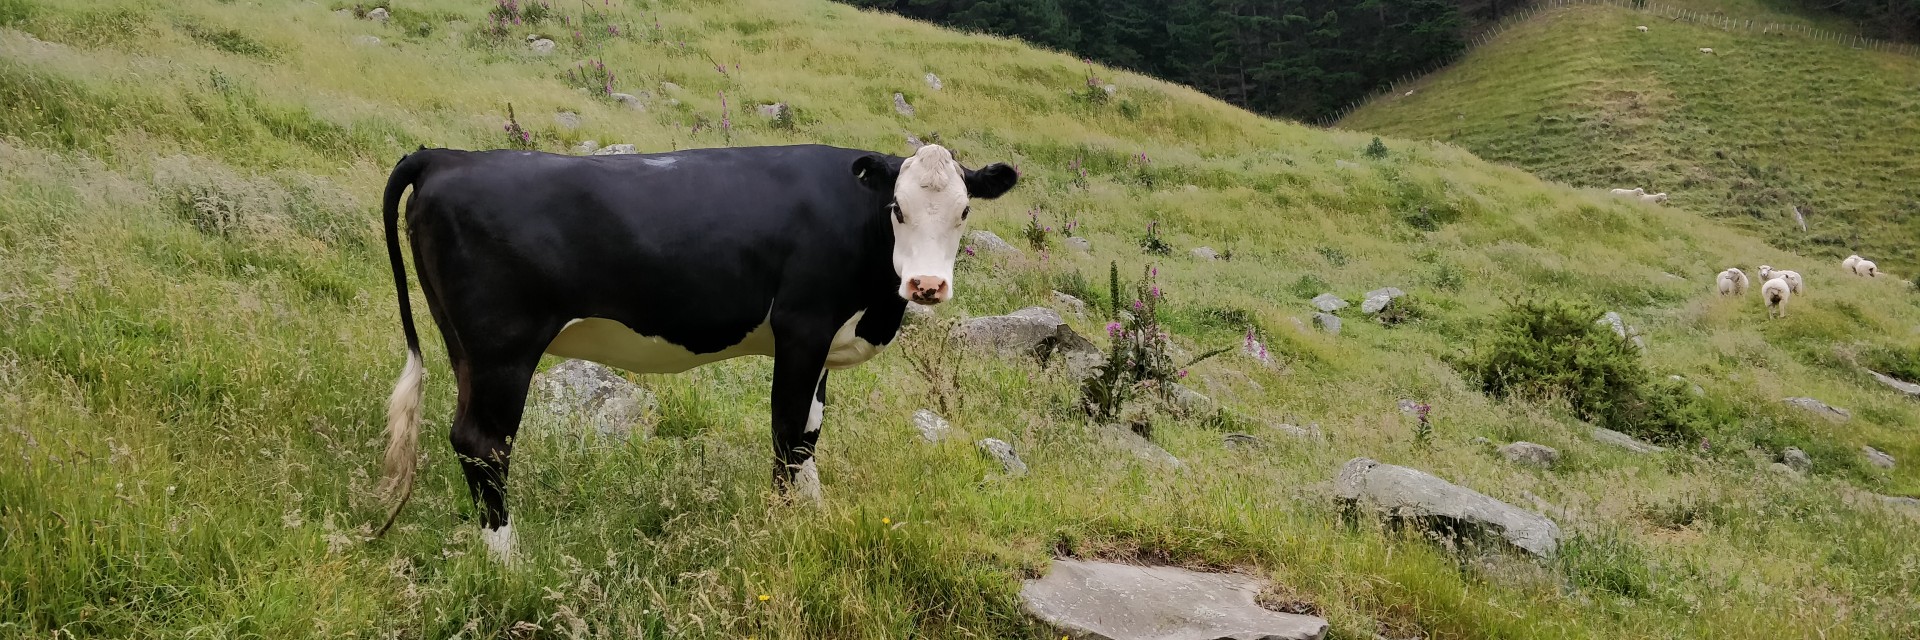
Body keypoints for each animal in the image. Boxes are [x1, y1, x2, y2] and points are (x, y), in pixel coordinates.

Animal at [370, 142, 1021, 557]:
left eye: (964, 210)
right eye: (897, 209)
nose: (927, 285)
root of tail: (447, 155)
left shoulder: (823, 341)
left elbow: (810, 431)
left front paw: (816, 514)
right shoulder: (803, 327)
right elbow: (788, 431)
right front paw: (782, 527)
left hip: (466, 349)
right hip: (502, 349)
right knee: (483, 443)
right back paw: (509, 560)